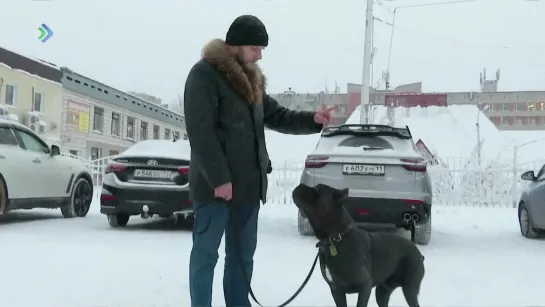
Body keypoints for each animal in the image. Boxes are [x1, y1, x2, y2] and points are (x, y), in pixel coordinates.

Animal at [294, 184, 424, 306]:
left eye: (318, 189)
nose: (300, 185)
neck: (336, 239)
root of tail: (420, 254)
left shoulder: (365, 286)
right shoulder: (336, 290)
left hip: (409, 289)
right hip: (382, 291)